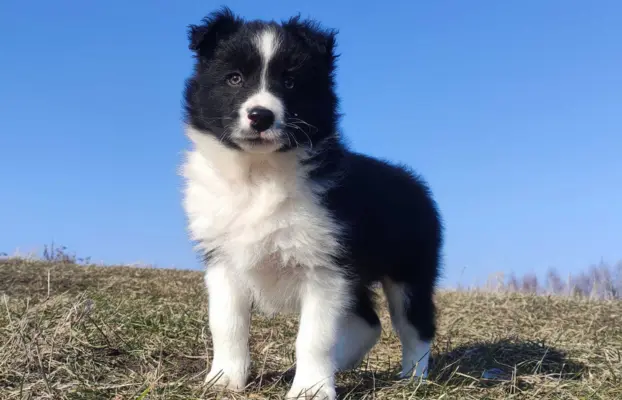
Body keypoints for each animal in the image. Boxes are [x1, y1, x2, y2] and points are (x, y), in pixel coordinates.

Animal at [180, 7, 444, 400]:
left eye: (290, 82)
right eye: (234, 78)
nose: (261, 116)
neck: (259, 174)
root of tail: (413, 182)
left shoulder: (325, 267)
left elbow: (314, 337)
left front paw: (311, 389)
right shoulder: (223, 261)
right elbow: (226, 324)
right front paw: (224, 379)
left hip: (410, 270)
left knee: (415, 325)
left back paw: (413, 377)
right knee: (369, 322)